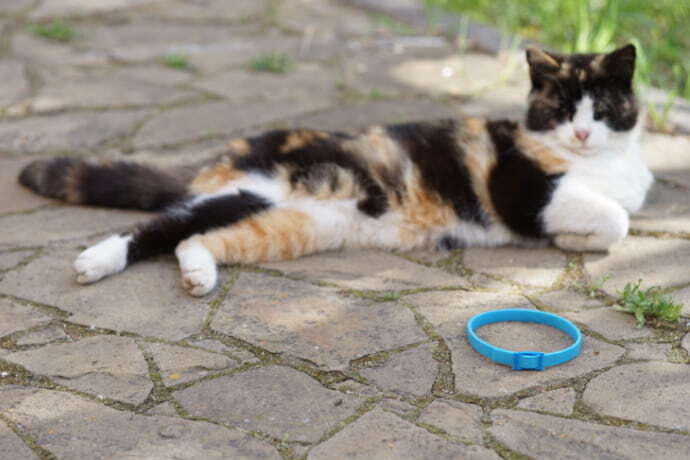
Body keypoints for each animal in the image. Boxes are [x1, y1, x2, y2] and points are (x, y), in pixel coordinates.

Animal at [17, 45, 652, 296]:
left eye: (600, 107)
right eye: (562, 109)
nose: (581, 132)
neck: (601, 162)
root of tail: (226, 155)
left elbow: (620, 218)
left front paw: (576, 236)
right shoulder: (524, 191)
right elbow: (614, 220)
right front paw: (573, 234)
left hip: (291, 223)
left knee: (193, 238)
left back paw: (198, 274)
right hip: (256, 189)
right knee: (157, 227)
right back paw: (95, 262)